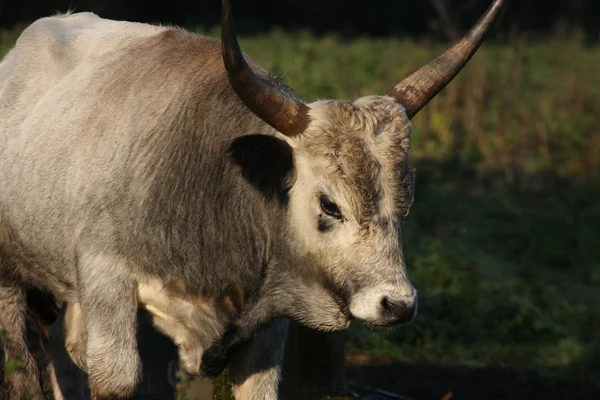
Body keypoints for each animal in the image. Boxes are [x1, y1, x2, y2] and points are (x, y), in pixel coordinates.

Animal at [1, 0, 506, 398]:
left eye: (405, 204)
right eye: (329, 205)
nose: (397, 305)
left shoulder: (268, 328)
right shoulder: (108, 282)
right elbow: (116, 380)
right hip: (11, 279)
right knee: (22, 366)